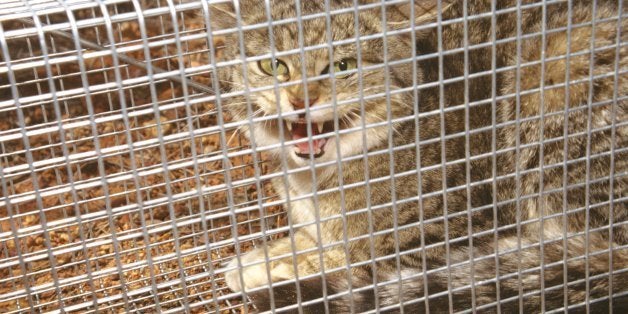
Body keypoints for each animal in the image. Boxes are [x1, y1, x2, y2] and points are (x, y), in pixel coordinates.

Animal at [207, 0, 628, 312]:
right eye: (273, 65)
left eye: (342, 66)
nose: (301, 100)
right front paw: (273, 254)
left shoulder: (454, 236)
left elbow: (361, 262)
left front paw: (281, 266)